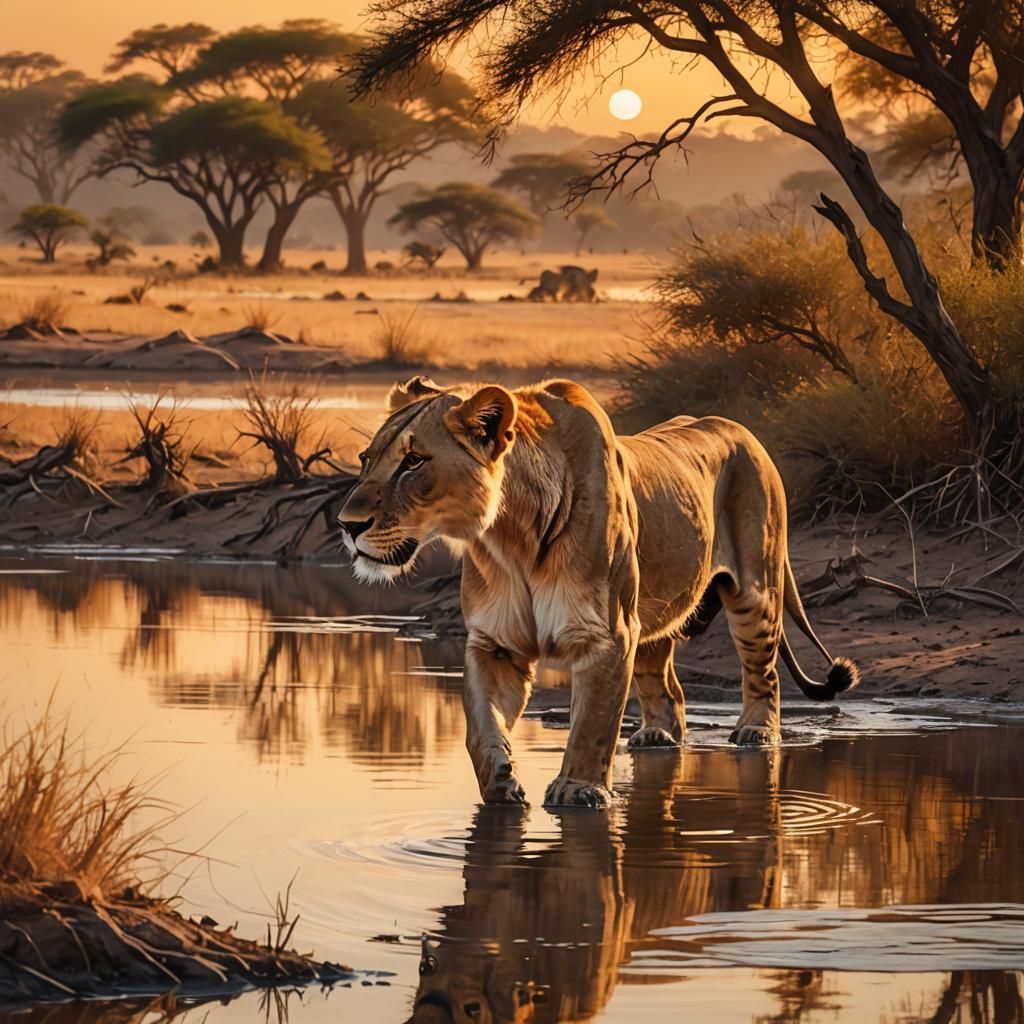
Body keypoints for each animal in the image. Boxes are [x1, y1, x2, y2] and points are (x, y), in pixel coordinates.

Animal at [337, 376, 858, 808]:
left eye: (413, 462)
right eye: (366, 460)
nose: (346, 524)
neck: (509, 537)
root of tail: (747, 433)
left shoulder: (607, 635)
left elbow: (593, 723)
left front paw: (578, 789)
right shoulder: (495, 644)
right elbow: (480, 723)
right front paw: (500, 780)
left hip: (755, 593)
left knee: (763, 675)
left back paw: (756, 730)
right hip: (652, 616)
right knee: (669, 692)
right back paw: (656, 736)